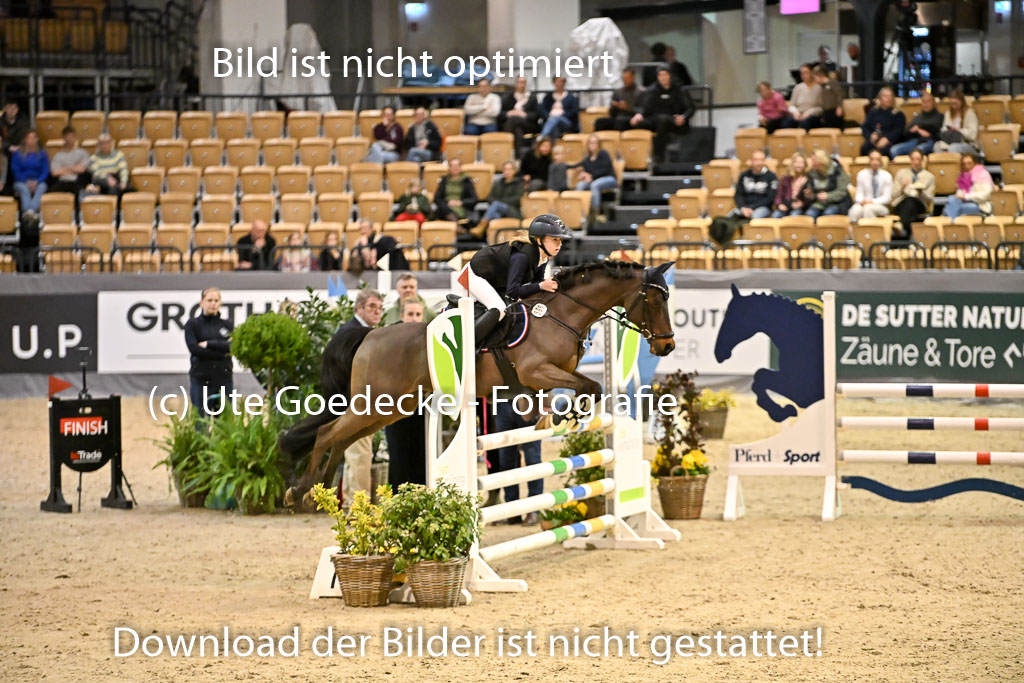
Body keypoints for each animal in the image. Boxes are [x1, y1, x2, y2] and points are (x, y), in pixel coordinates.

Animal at [280, 260, 676, 510]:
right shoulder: (536, 370)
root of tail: (370, 335)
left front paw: (547, 418)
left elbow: (570, 392)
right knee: (327, 433)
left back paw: (318, 489)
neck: (563, 313)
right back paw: (298, 492)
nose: (667, 347)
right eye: (655, 299)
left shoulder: (547, 376)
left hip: (391, 409)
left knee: (341, 438)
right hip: (374, 404)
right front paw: (564, 417)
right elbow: (590, 388)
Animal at [713, 284, 823, 422]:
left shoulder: (804, 392)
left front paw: (781, 412)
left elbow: (761, 376)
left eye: (732, 316)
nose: (718, 353)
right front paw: (782, 411)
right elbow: (759, 377)